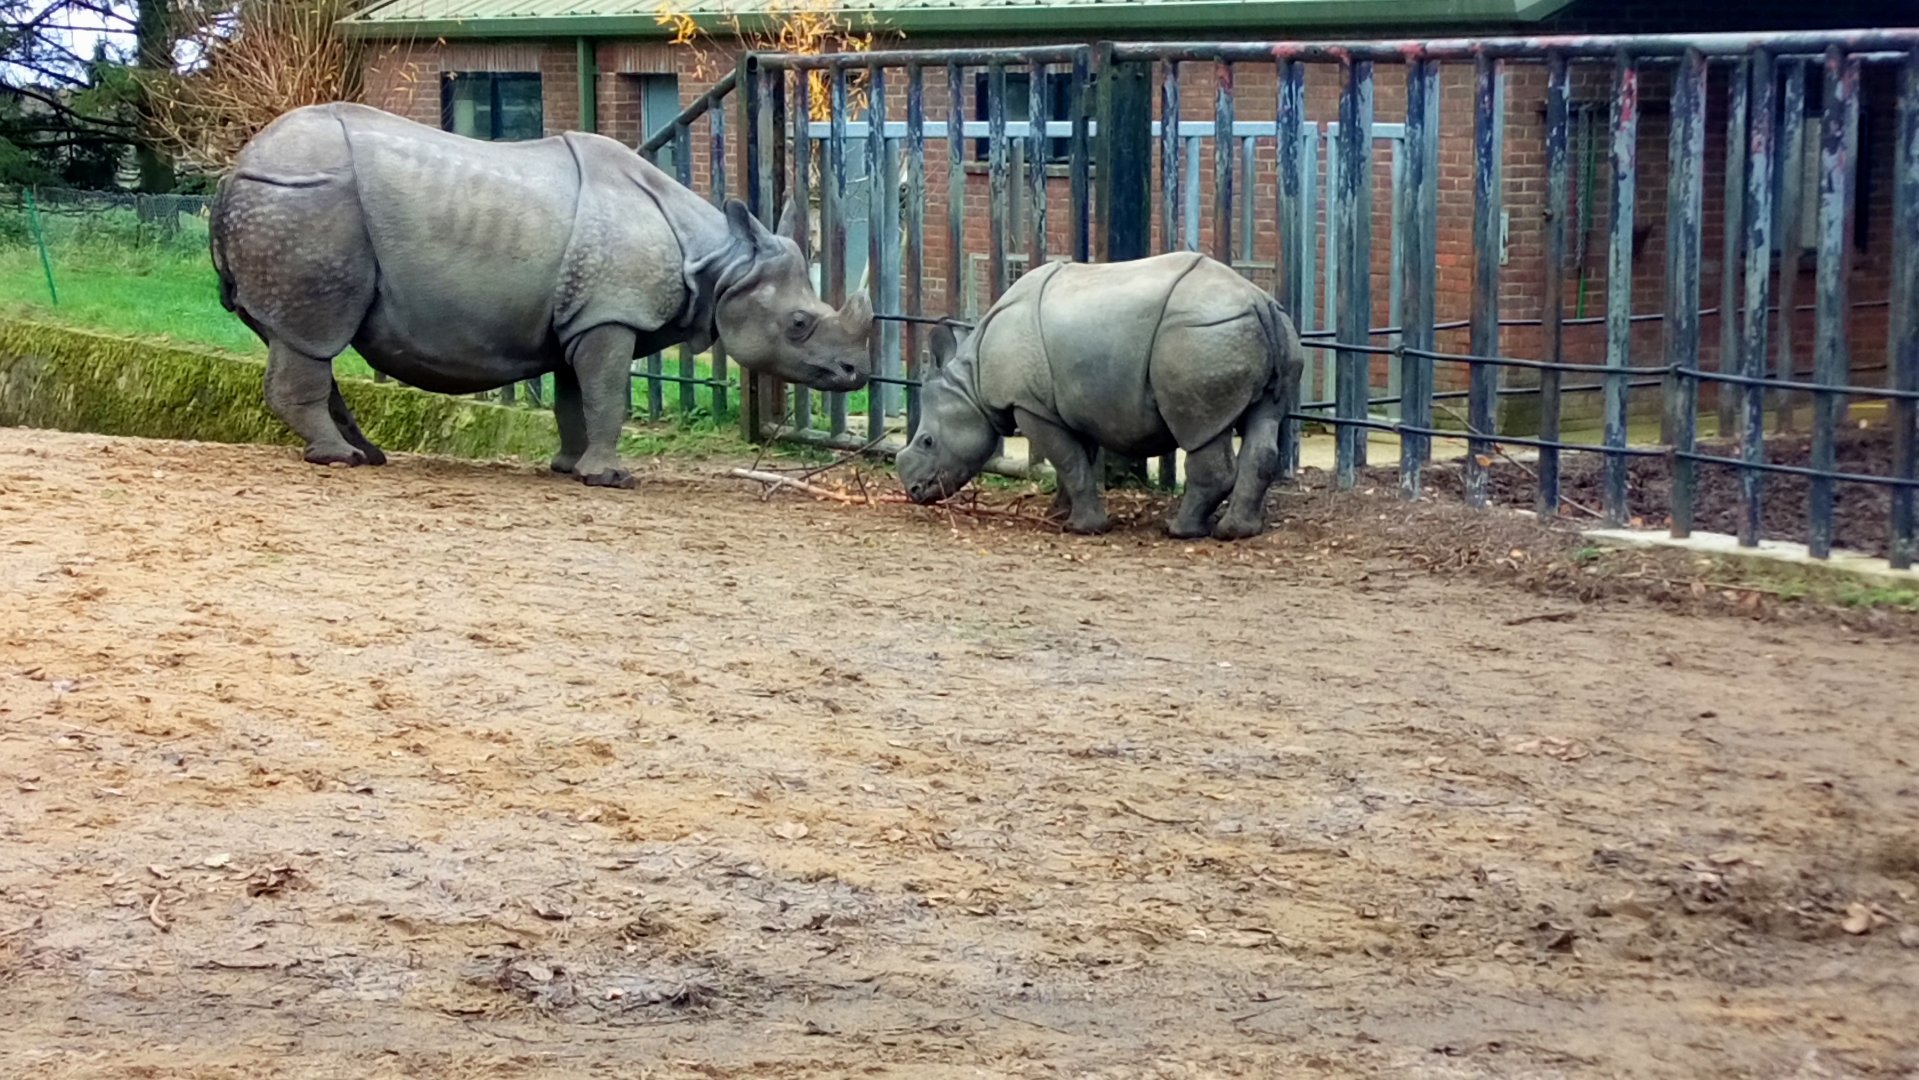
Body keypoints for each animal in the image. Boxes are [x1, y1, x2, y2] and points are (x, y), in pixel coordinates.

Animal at [210, 102, 874, 488]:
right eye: (799, 323)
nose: (855, 373)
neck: (719, 263)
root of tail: (234, 169)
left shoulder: (582, 317)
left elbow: (576, 399)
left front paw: (569, 469)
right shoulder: (609, 314)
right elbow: (608, 397)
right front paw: (611, 479)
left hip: (289, 204)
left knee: (299, 339)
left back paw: (366, 454)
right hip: (303, 202)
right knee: (314, 336)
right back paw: (339, 461)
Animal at [898, 252, 1305, 540]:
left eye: (928, 441)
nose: (914, 491)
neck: (972, 383)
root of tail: (1259, 302)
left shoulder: (1030, 405)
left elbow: (1067, 460)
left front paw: (1083, 529)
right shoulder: (1069, 403)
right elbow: (1076, 460)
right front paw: (1058, 516)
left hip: (1200, 336)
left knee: (1198, 428)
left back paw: (1180, 531)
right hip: (1258, 332)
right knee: (1265, 419)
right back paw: (1236, 532)